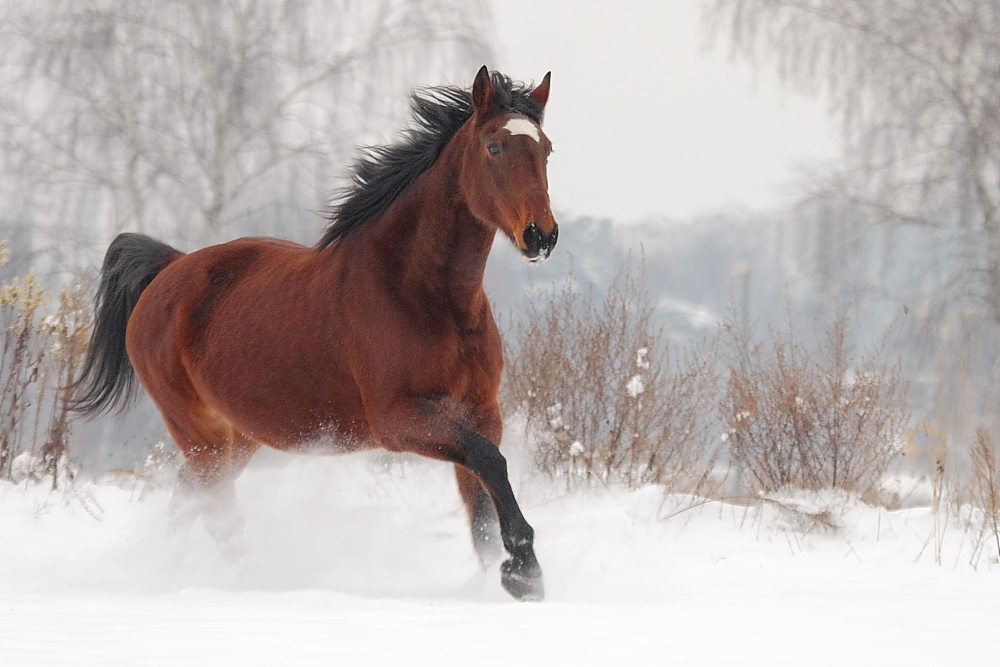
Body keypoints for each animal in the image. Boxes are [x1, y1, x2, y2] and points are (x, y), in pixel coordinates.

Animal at [69, 65, 556, 604]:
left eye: (547, 149)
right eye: (494, 147)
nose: (541, 235)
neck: (422, 295)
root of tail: (169, 268)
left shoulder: (480, 412)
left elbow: (482, 509)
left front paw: (502, 575)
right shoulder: (397, 421)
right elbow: (490, 464)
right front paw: (525, 571)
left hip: (237, 436)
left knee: (187, 505)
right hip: (198, 432)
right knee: (216, 514)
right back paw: (257, 580)